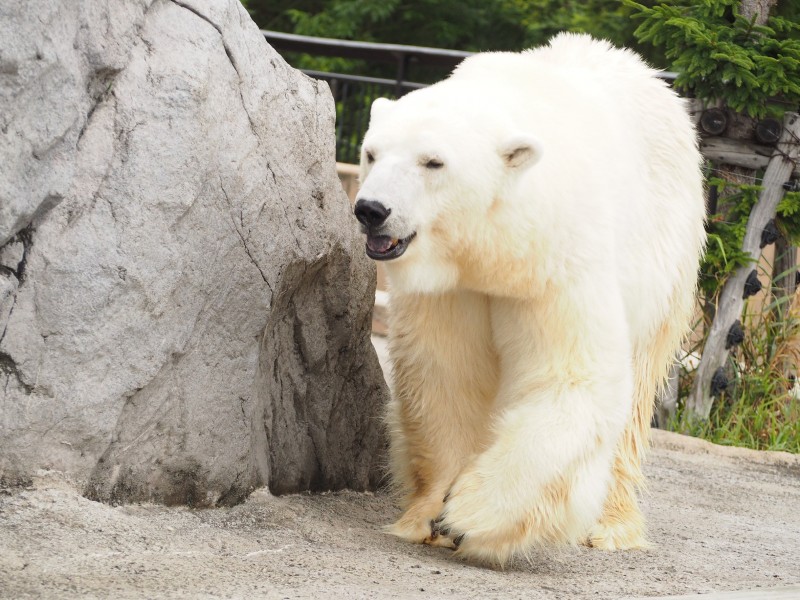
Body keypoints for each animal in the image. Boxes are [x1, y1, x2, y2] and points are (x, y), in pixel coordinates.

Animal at [356, 35, 708, 564]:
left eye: (433, 162)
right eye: (372, 153)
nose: (371, 209)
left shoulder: (559, 259)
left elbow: (570, 377)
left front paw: (470, 516)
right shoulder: (453, 287)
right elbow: (445, 373)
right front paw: (427, 514)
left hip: (668, 254)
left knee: (638, 386)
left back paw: (613, 526)